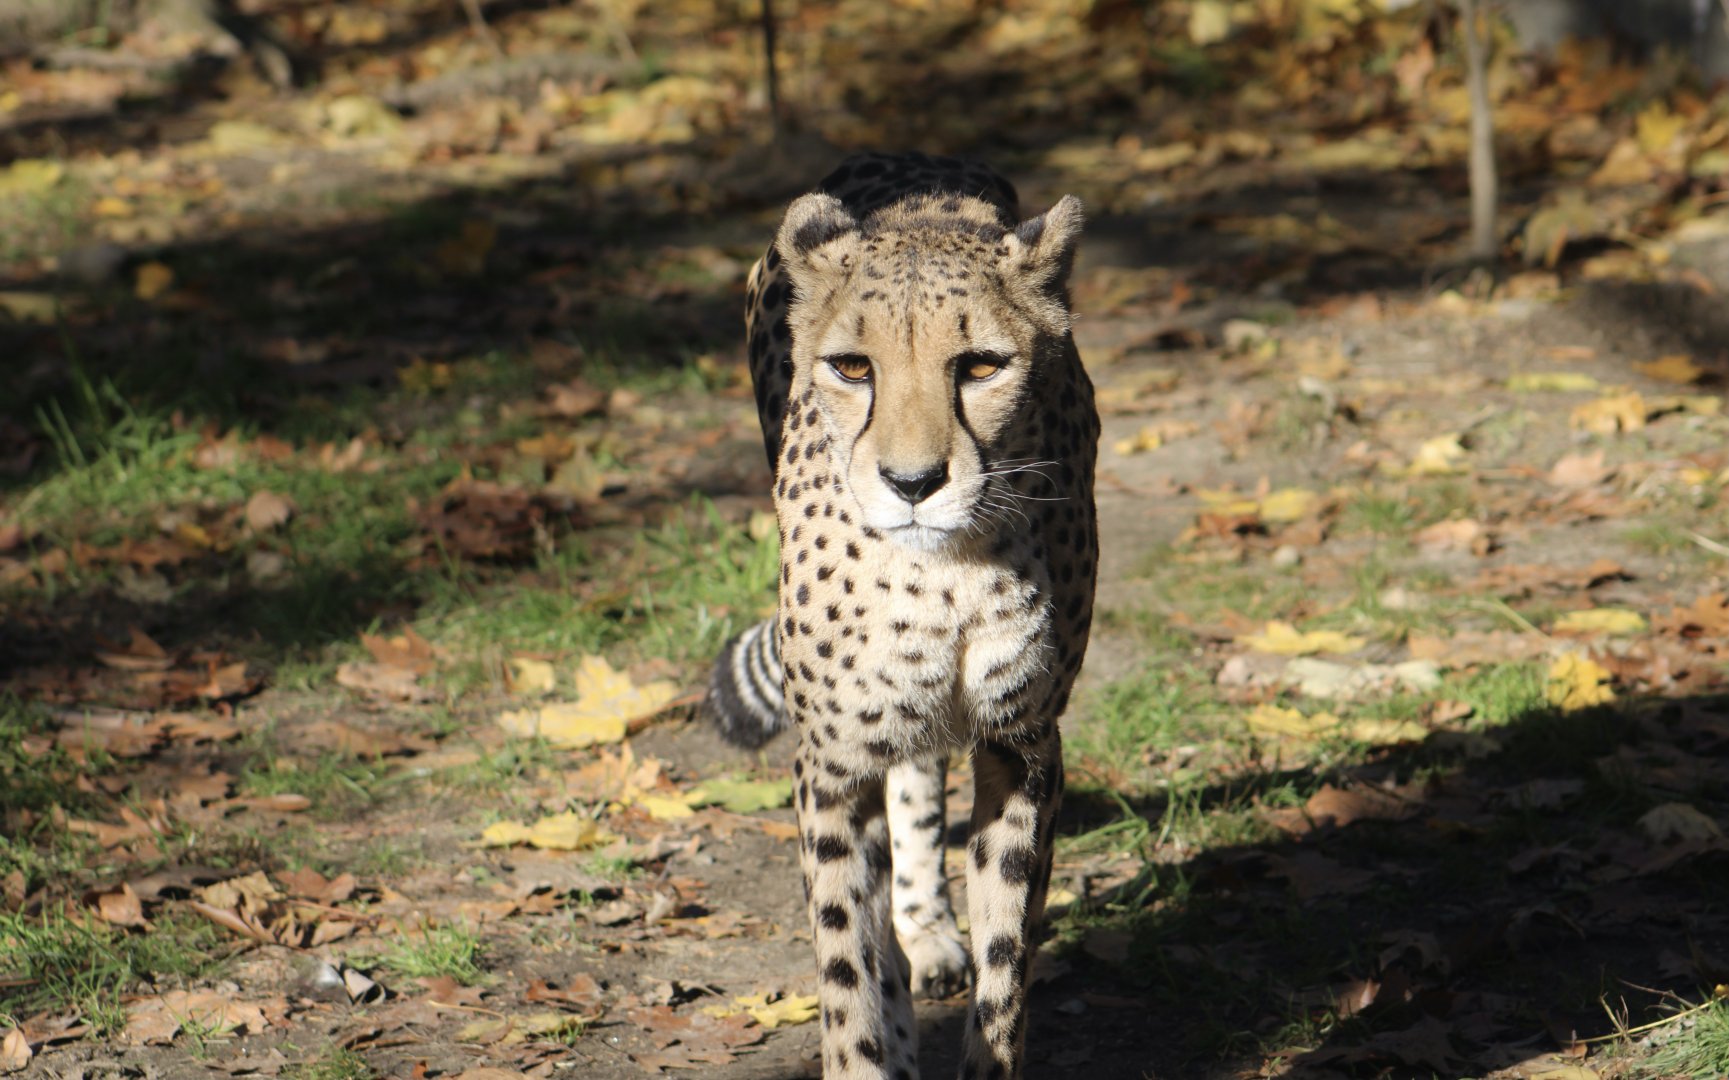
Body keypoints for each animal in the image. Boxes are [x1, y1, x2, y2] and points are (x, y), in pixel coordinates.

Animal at [702, 151, 1099, 1080]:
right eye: (852, 368)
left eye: (981, 365)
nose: (912, 483)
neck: (943, 575)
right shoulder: (832, 764)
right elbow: (848, 967)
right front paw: (869, 1044)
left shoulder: (1023, 743)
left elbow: (1007, 964)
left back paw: (928, 929)